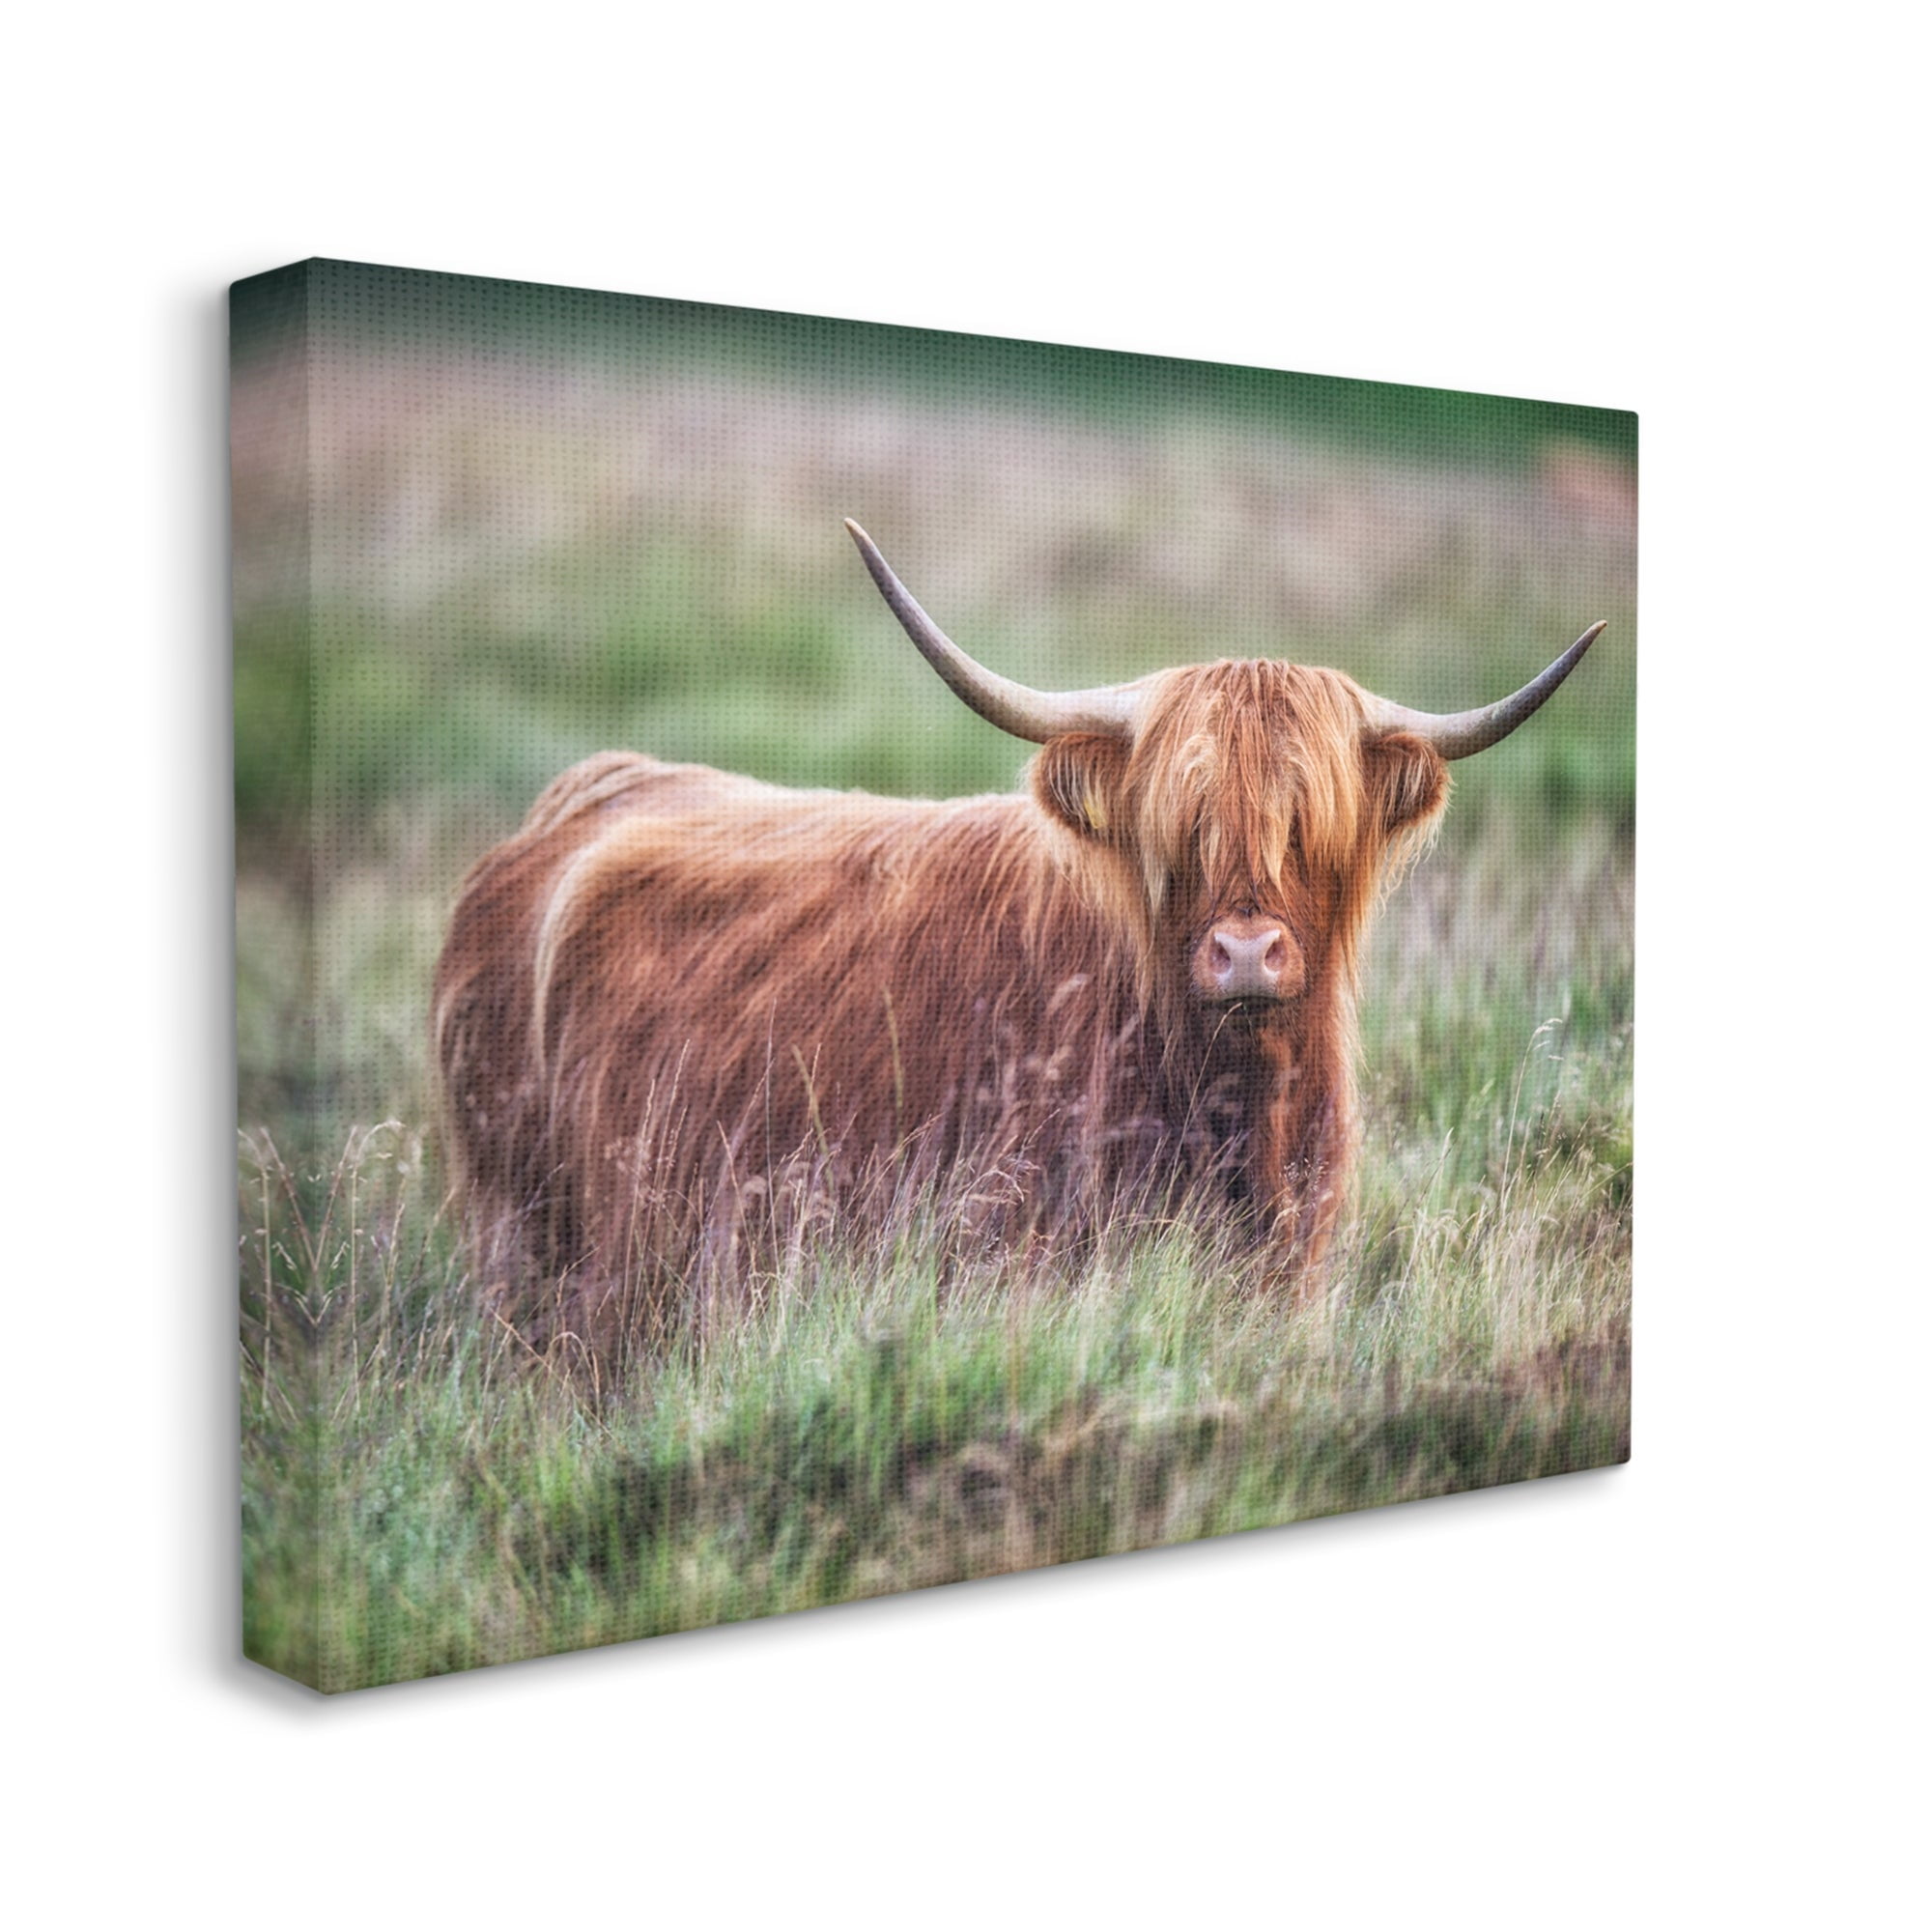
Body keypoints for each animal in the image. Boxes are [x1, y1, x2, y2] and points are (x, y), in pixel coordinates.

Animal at [434, 519, 1602, 1353]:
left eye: (1307, 827)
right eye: (1179, 828)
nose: (1243, 955)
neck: (1230, 1107)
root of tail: (582, 797)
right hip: (525, 1235)